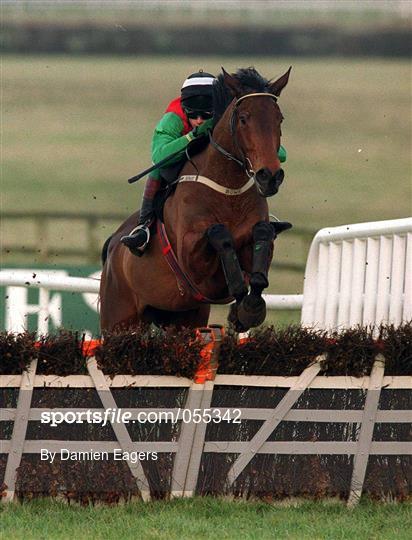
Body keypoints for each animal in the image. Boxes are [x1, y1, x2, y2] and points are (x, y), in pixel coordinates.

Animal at [100, 67, 292, 334]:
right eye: (244, 118)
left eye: (279, 119)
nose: (270, 176)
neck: (228, 192)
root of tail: (113, 244)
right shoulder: (192, 264)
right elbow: (219, 234)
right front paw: (242, 301)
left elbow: (262, 236)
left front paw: (248, 309)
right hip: (118, 319)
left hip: (184, 318)